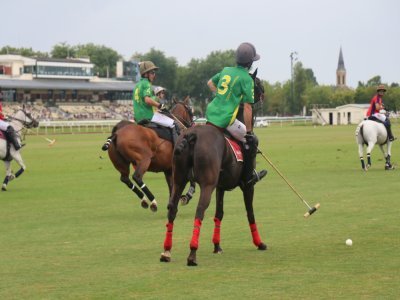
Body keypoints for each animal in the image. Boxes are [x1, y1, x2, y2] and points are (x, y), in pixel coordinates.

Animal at [159, 71, 266, 266]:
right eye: (257, 82)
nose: (263, 93)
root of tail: (192, 135)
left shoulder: (220, 187)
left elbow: (219, 213)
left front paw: (217, 246)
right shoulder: (247, 186)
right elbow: (250, 213)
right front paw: (259, 242)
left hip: (178, 179)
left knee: (172, 208)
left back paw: (166, 251)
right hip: (207, 185)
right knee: (200, 210)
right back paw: (192, 254)